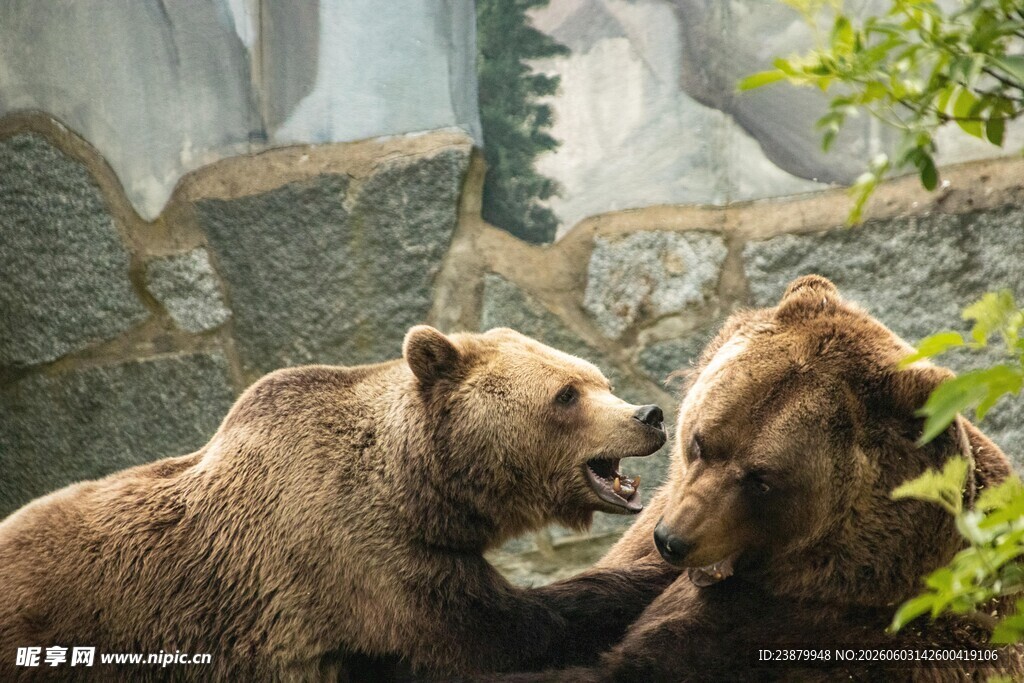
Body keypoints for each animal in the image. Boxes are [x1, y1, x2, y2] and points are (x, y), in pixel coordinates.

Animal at [0, 325, 675, 681]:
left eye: (601, 380)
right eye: (566, 394)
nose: (648, 415)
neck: (418, 491)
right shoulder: (352, 562)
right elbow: (511, 625)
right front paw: (643, 578)